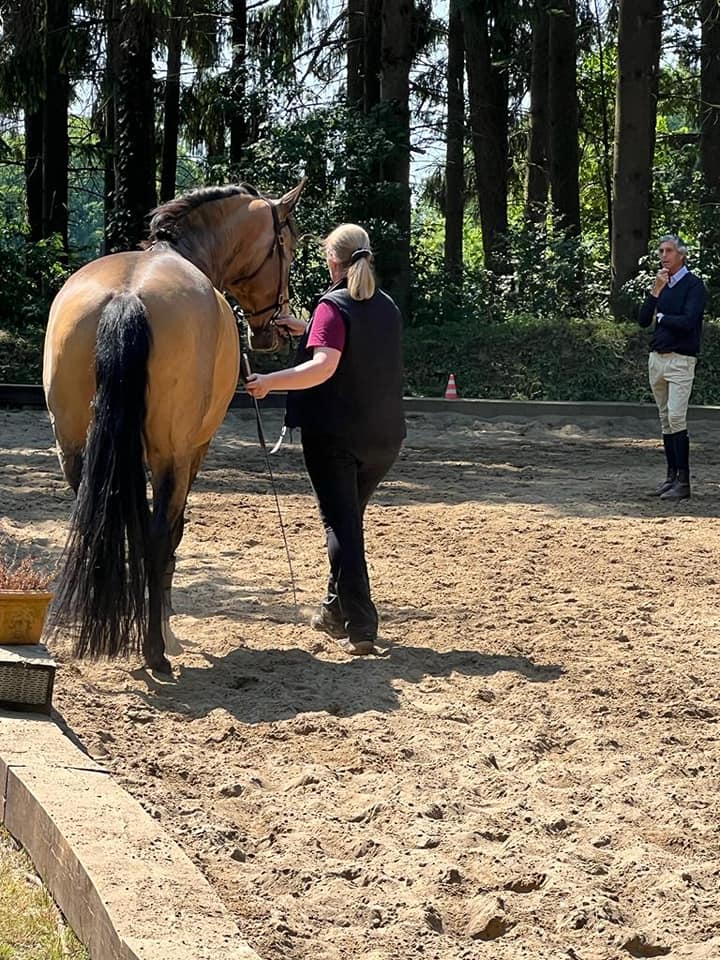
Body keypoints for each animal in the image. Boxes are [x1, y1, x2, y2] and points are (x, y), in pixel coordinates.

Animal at [43, 182, 306, 676]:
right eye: (288, 245)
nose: (275, 330)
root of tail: (127, 298)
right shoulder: (193, 451)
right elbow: (173, 531)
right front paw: (165, 629)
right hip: (171, 455)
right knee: (156, 535)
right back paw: (154, 649)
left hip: (74, 450)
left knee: (96, 528)